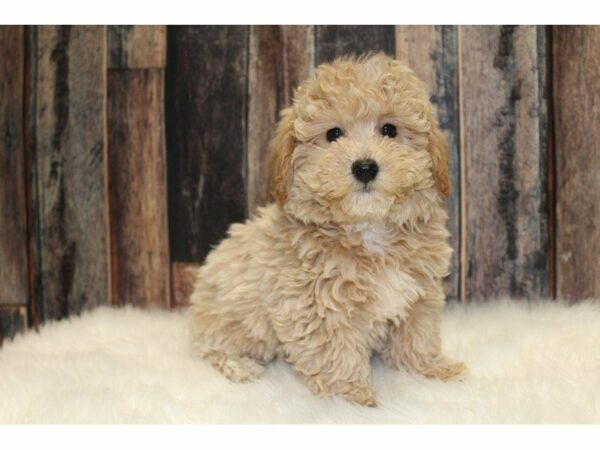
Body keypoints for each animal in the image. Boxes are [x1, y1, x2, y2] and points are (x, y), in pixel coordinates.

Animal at [190, 53, 466, 408]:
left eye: (389, 130)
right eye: (334, 134)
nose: (365, 167)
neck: (369, 230)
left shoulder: (420, 294)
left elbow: (418, 336)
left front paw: (431, 369)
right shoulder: (317, 306)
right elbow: (335, 351)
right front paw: (349, 395)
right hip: (228, 322)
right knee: (211, 350)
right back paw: (239, 366)